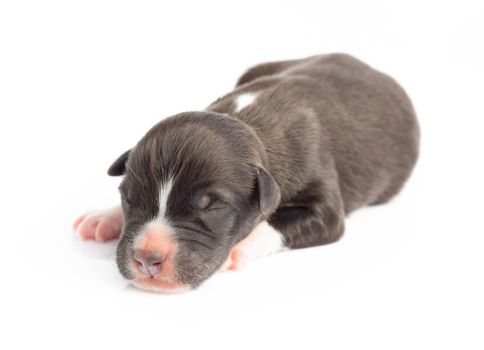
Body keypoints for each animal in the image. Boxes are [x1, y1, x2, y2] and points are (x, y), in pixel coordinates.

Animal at [73, 52, 418, 292]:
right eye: (128, 199)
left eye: (211, 207)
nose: (146, 259)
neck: (244, 119)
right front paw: (106, 216)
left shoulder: (324, 204)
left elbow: (275, 224)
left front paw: (238, 249)